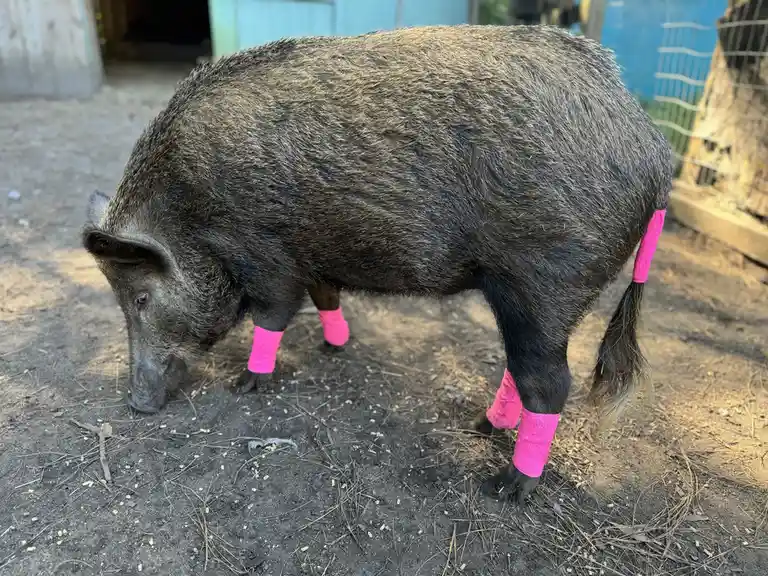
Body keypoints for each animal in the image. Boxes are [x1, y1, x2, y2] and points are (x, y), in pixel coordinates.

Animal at [82, 23, 673, 503]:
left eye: (140, 297)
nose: (136, 405)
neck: (191, 212)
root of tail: (654, 147)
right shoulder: (311, 258)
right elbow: (325, 295)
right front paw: (334, 346)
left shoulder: (268, 253)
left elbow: (274, 314)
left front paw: (245, 385)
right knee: (523, 366)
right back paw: (483, 427)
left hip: (549, 277)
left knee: (550, 383)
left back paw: (506, 486)